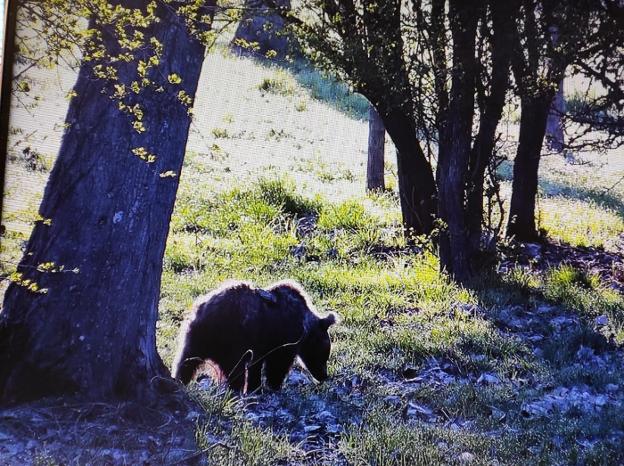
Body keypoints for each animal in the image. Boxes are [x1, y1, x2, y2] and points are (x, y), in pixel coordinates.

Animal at [171, 280, 336, 394]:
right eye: (324, 354)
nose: (324, 376)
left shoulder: (262, 344)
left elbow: (256, 364)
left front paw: (255, 387)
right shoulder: (283, 337)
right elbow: (278, 364)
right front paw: (274, 385)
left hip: (195, 336)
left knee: (186, 360)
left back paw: (179, 380)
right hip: (230, 337)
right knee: (234, 366)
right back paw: (236, 387)